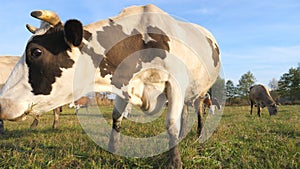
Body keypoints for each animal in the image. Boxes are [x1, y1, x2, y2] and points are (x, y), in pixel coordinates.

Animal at [0, 4, 220, 168]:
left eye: (36, 52)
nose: (1, 103)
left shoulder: (174, 84)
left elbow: (171, 124)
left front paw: (175, 161)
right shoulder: (124, 85)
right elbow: (116, 117)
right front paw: (113, 148)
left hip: (201, 92)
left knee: (198, 111)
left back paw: (199, 134)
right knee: (185, 112)